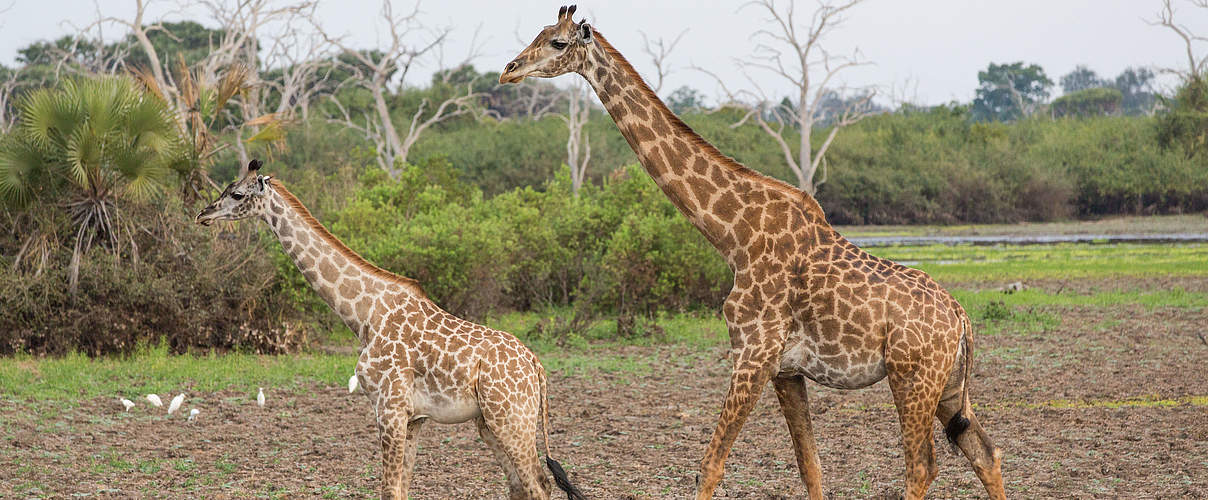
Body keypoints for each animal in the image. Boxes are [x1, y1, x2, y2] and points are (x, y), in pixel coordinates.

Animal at [198, 160, 584, 500]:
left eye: (236, 194)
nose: (203, 215)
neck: (364, 316)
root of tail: (536, 365)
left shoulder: (389, 407)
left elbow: (388, 488)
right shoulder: (413, 418)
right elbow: (401, 489)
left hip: (510, 418)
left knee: (538, 484)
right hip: (490, 422)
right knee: (522, 484)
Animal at [500, 4, 1000, 500]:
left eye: (558, 42)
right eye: (537, 34)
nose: (510, 70)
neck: (734, 238)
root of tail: (961, 318)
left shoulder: (752, 354)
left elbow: (709, 467)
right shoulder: (785, 369)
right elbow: (810, 466)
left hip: (912, 377)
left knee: (922, 467)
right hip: (946, 386)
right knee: (985, 452)